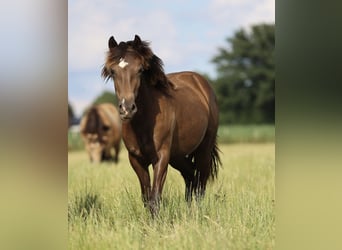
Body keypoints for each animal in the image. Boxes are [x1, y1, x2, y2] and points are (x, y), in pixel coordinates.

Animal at [101, 35, 222, 215]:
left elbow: (155, 198)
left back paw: (197, 213)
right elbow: (146, 197)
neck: (144, 123)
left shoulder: (161, 157)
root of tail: (202, 85)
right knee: (190, 176)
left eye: (140, 70)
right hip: (177, 156)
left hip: (203, 150)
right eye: (113, 71)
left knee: (201, 183)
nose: (127, 108)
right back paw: (188, 211)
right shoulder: (136, 160)